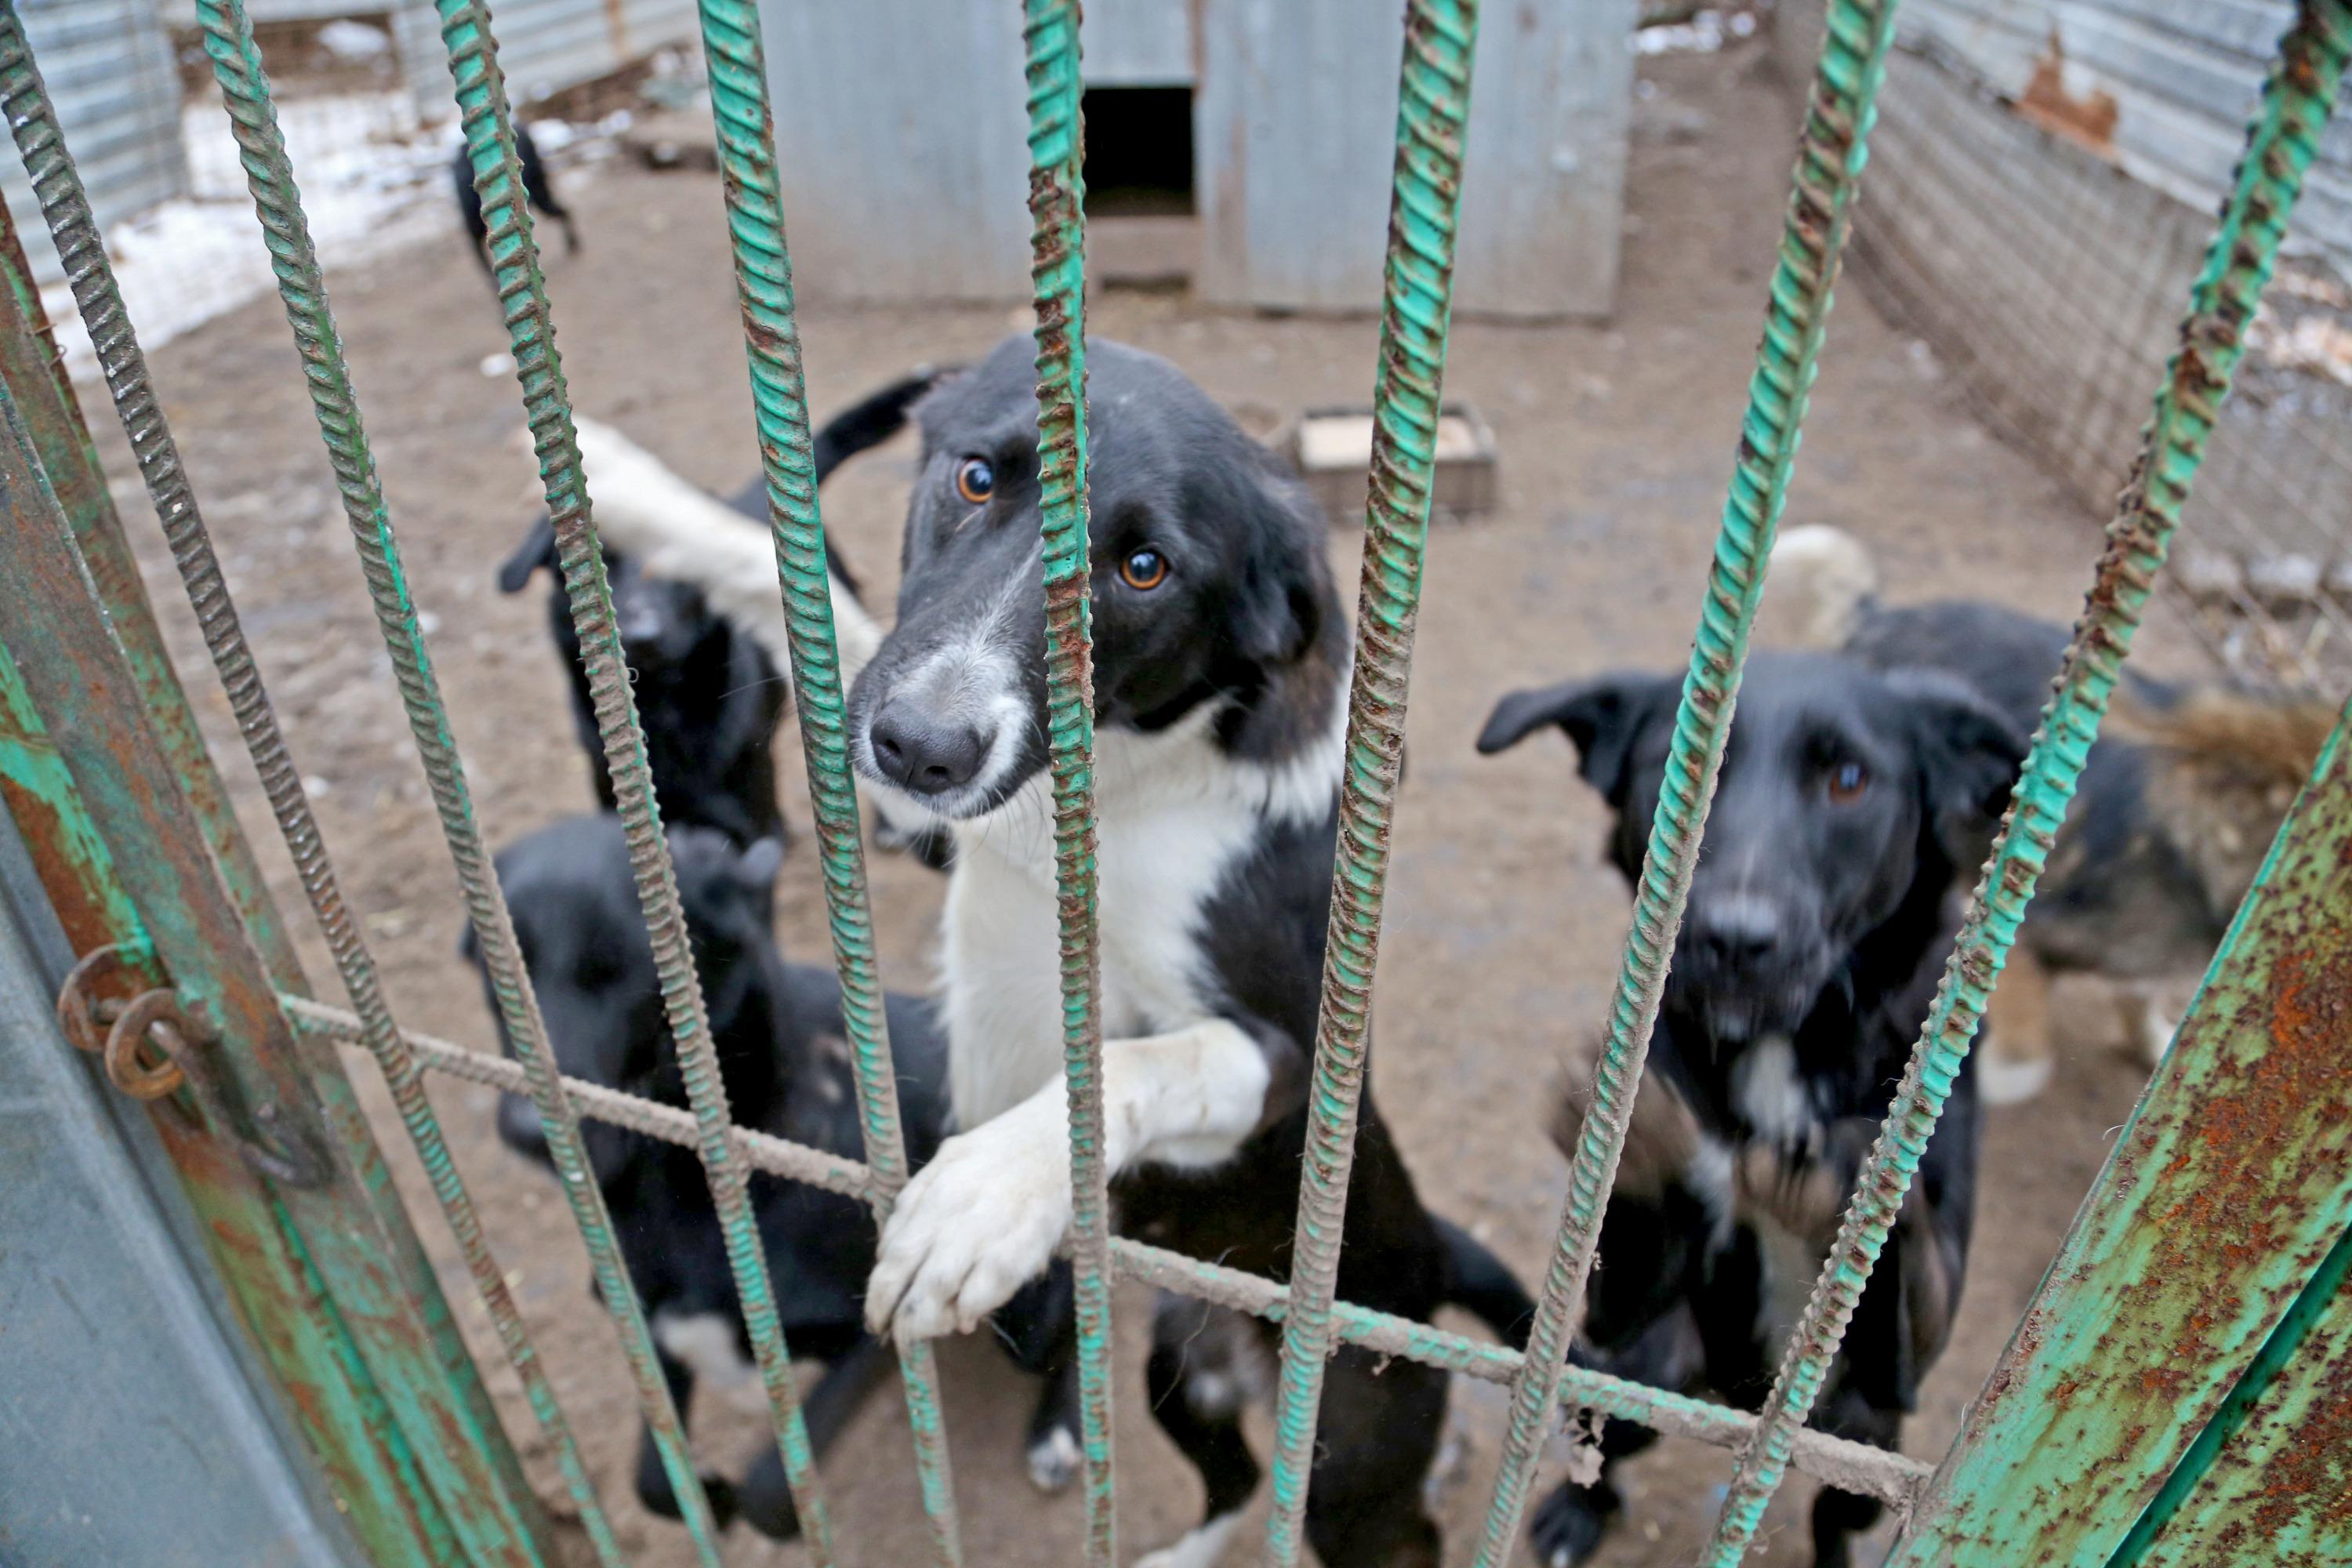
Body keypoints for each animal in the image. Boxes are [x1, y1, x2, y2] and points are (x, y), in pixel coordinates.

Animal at [473, 818, 1077, 1542]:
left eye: (621, 965)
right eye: (496, 967)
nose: (523, 1130)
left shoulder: (868, 1340)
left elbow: (771, 1494)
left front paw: (747, 1500)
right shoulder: (648, 1317)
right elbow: (655, 1482)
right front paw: (705, 1493)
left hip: (1029, 1319)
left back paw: (1060, 1434)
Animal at [1477, 653, 2013, 1568]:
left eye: (1848, 780)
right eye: (1678, 766)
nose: (1733, 939)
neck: (1776, 1048)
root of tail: (1730, 1396)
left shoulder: (1905, 1359)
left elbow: (1887, 1199)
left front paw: (1831, 1166)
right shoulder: (1619, 1306)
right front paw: (1652, 1140)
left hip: (1863, 1435)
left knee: (1835, 1518)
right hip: (1646, 1365)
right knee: (1603, 1437)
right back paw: (1573, 1514)